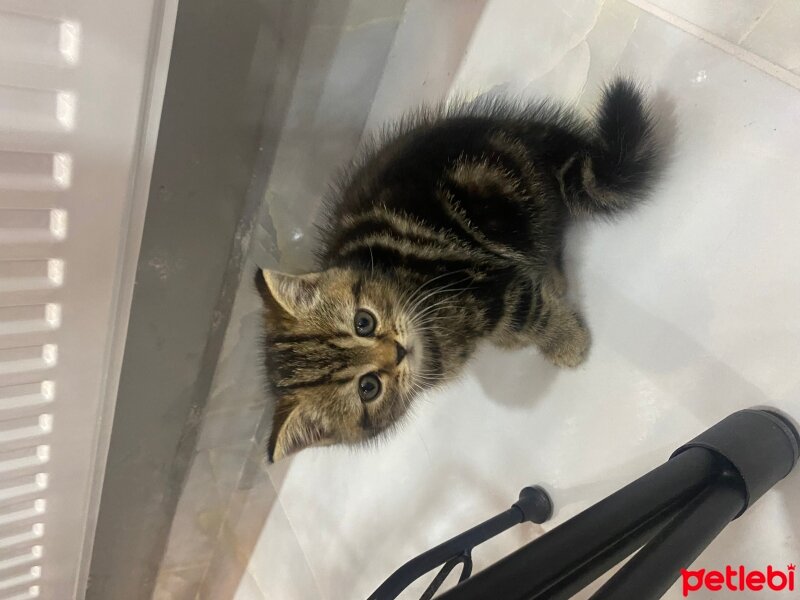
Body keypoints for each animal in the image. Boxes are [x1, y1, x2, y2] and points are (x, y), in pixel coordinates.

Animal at [258, 78, 664, 460]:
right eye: (368, 387)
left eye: (364, 322)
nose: (398, 352)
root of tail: (518, 129)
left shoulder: (486, 283)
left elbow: (527, 310)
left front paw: (568, 342)